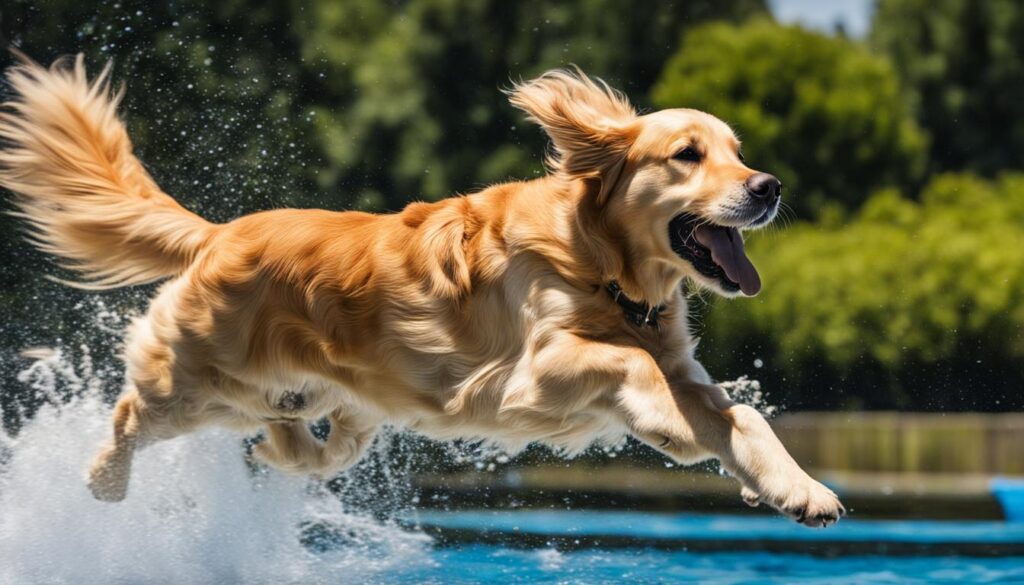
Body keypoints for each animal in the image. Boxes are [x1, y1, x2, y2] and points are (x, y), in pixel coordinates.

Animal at [2, 56, 847, 524]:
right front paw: (687, 433)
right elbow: (635, 368)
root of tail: (218, 233)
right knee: (128, 411)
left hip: (322, 400)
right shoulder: (531, 373)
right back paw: (102, 479)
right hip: (199, 385)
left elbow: (741, 418)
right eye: (687, 154)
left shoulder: (683, 370)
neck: (601, 263)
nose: (769, 186)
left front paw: (794, 488)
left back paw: (280, 452)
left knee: (302, 444)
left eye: (738, 150)